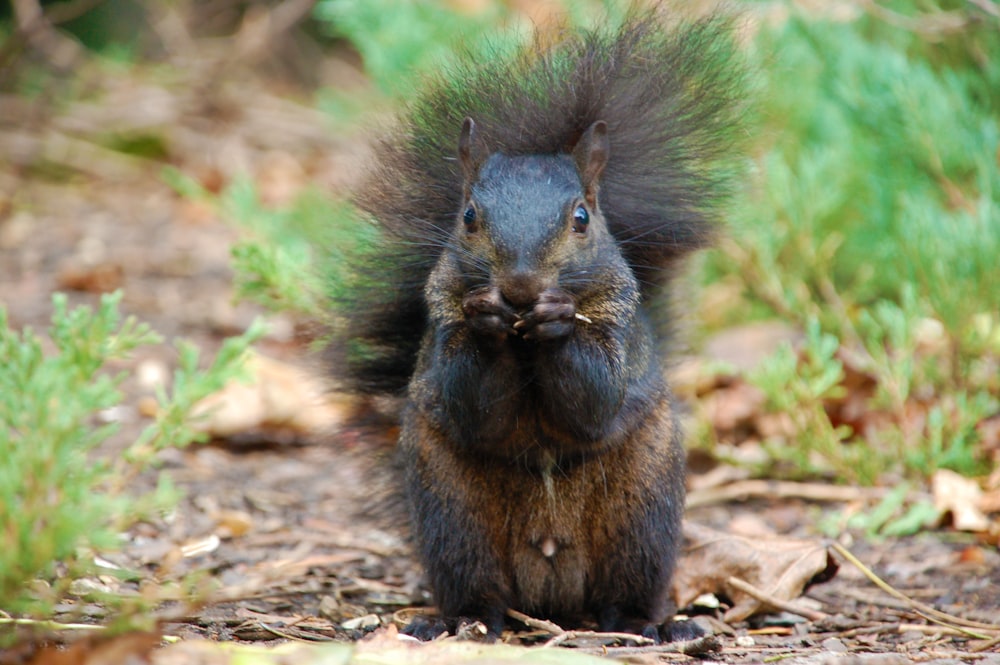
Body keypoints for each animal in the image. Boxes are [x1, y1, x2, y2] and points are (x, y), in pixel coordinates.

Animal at [332, 3, 748, 640]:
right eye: (468, 216)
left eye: (581, 217)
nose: (522, 286)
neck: (523, 342)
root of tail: (550, 580)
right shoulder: (443, 317)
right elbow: (470, 403)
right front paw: (488, 318)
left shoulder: (619, 320)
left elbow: (595, 400)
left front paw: (558, 321)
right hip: (454, 517)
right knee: (477, 585)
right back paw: (460, 620)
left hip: (641, 518)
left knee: (625, 587)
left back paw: (647, 624)